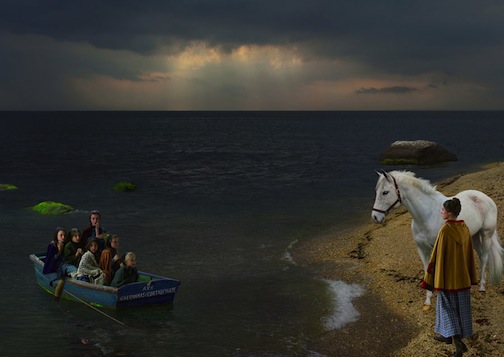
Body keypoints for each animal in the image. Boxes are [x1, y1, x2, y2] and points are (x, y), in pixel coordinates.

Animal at [370, 168, 504, 308]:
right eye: (377, 191)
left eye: (385, 192)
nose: (375, 217)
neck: (427, 215)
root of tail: (486, 198)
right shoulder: (422, 249)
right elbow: (427, 269)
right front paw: (428, 300)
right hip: (475, 236)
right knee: (480, 255)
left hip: (486, 234)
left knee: (484, 257)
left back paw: (482, 287)